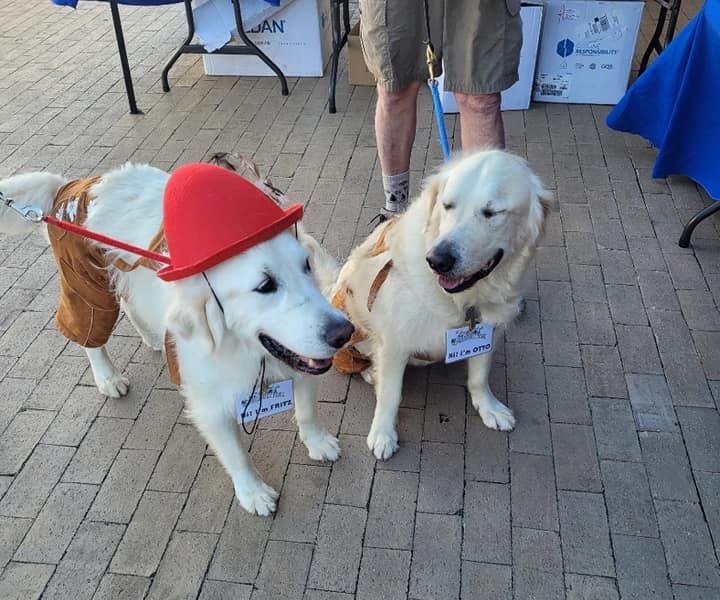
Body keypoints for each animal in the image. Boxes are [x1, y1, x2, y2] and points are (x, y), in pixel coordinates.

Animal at [0, 161, 354, 516]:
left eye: (306, 265)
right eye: (265, 285)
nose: (345, 333)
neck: (248, 351)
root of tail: (71, 184)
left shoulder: (302, 360)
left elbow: (306, 410)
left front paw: (318, 442)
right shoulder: (210, 404)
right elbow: (236, 454)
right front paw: (253, 493)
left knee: (130, 304)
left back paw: (153, 337)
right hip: (87, 285)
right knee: (89, 333)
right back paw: (108, 378)